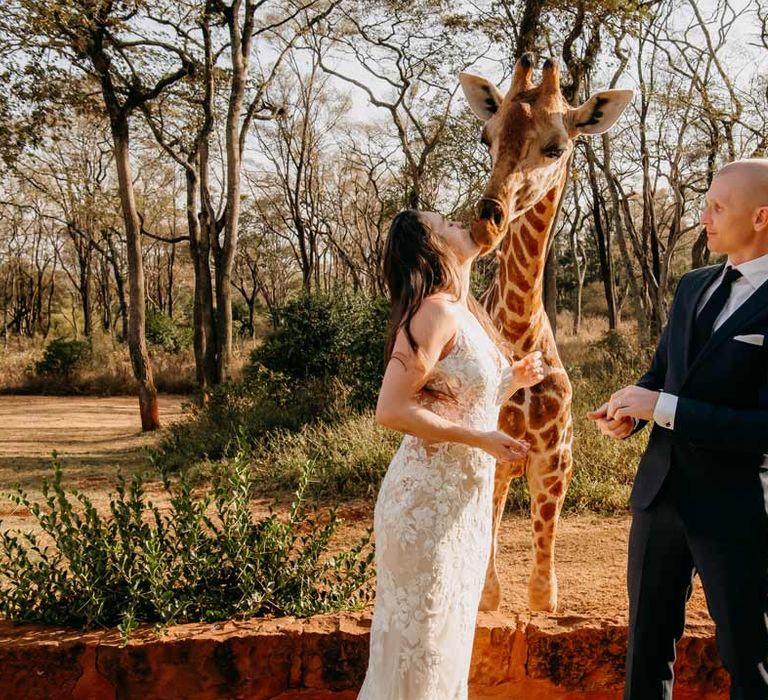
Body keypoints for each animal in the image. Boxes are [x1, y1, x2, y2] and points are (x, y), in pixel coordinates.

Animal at [460, 56, 632, 612]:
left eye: (556, 146)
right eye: (486, 137)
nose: (487, 218)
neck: (518, 330)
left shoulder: (556, 462)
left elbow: (541, 596)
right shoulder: (494, 456)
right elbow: (488, 596)